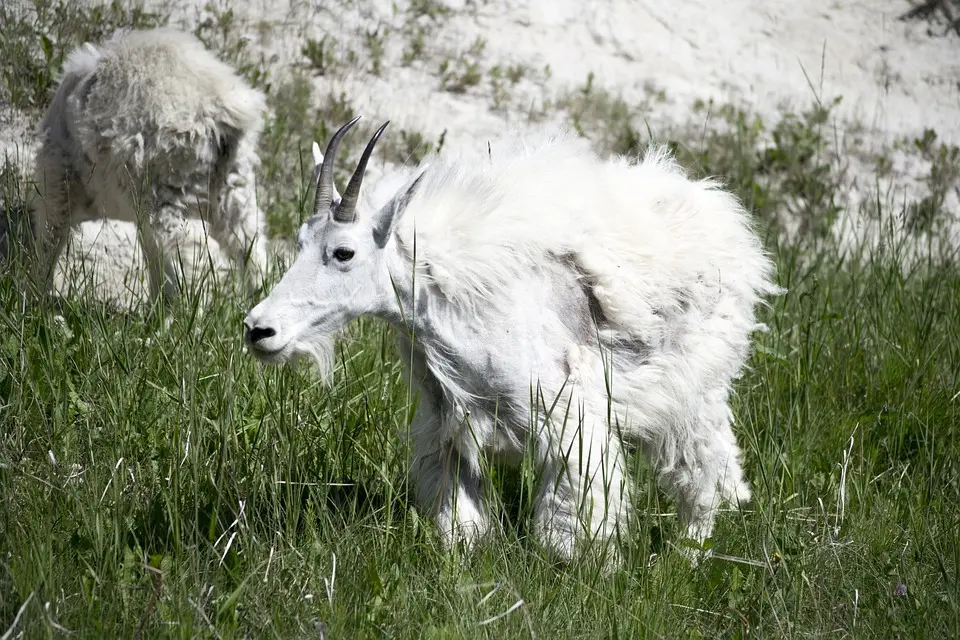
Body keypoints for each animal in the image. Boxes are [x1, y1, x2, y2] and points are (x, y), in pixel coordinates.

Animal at [29, 30, 268, 308]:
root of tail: (221, 109)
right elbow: (152, 255)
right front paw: (157, 305)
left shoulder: (57, 175)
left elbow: (50, 236)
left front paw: (35, 294)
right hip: (234, 185)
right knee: (250, 245)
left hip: (168, 188)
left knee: (187, 252)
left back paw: (186, 314)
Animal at [244, 117, 784, 564]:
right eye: (298, 243)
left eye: (344, 252)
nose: (258, 330)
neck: (444, 299)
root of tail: (727, 222)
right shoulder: (448, 423)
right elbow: (458, 513)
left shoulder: (568, 416)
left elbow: (570, 517)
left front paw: (586, 569)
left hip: (694, 387)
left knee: (704, 467)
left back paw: (689, 555)